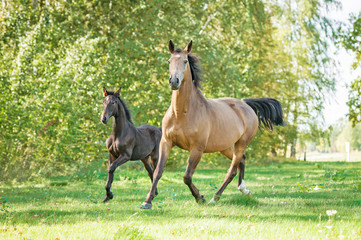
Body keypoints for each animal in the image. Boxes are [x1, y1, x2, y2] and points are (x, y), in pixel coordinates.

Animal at [141, 40, 284, 209]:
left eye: (185, 61)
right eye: (169, 61)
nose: (174, 81)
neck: (182, 113)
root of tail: (245, 104)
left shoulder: (197, 148)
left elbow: (187, 176)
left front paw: (200, 197)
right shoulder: (166, 142)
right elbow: (158, 172)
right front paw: (147, 201)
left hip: (241, 144)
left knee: (232, 170)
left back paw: (215, 198)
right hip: (225, 147)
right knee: (241, 161)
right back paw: (244, 190)